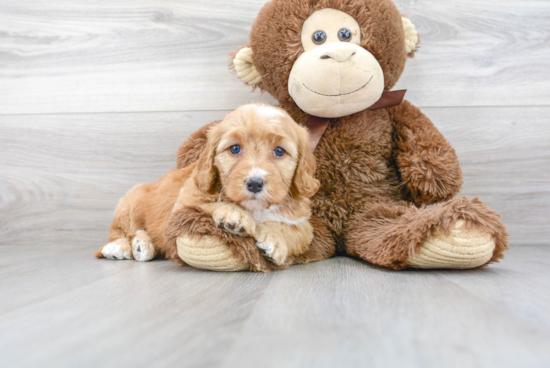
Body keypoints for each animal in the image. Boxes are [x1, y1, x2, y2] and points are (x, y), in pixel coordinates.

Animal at [95, 103, 320, 264]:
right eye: (235, 148)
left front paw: (275, 240)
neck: (255, 209)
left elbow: (295, 232)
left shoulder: (303, 222)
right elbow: (206, 204)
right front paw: (235, 215)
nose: (255, 183)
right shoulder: (183, 204)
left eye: (279, 151)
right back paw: (124, 247)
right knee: (122, 230)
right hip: (132, 201)